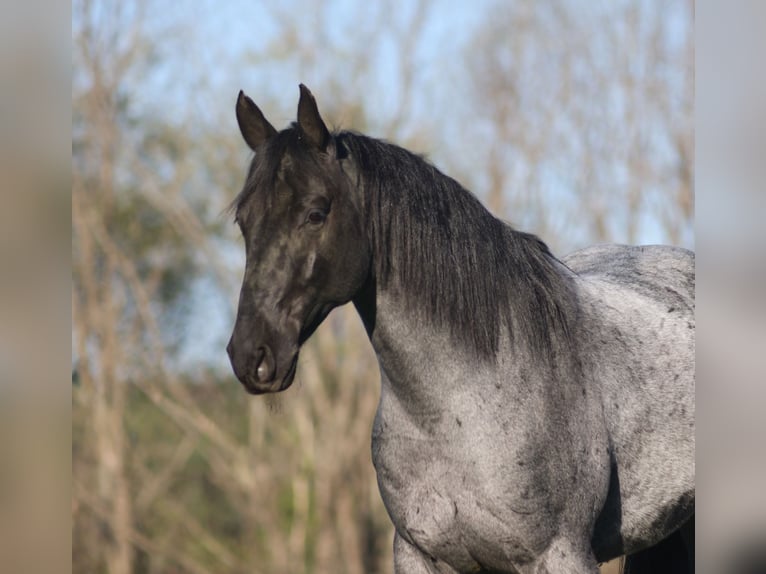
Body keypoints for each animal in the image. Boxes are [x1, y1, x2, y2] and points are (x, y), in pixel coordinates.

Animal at [226, 84, 695, 573]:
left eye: (316, 213)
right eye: (244, 220)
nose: (251, 355)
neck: (456, 412)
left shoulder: (562, 554)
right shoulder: (420, 556)